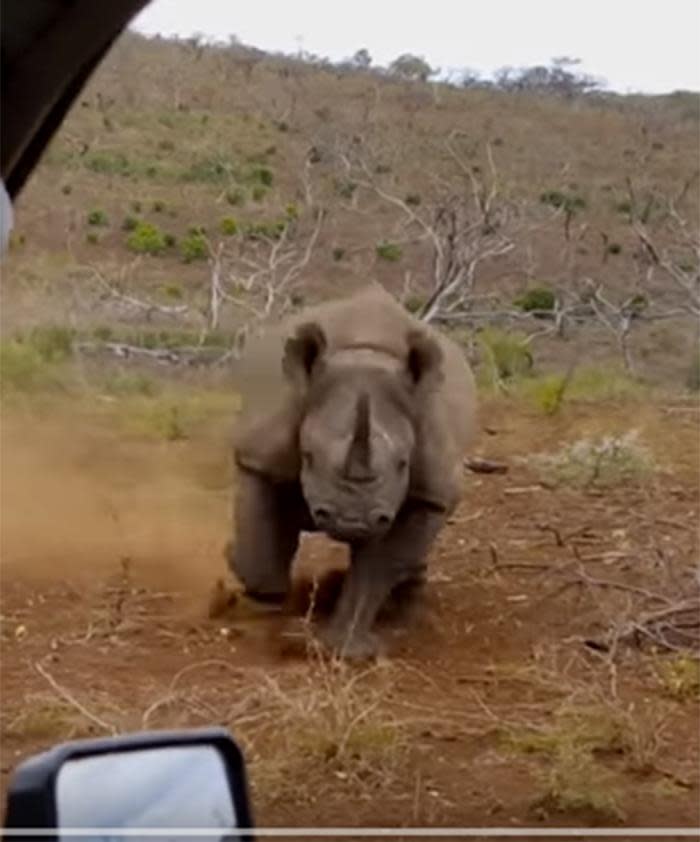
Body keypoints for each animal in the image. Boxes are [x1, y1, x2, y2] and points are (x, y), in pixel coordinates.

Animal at [227, 282, 478, 656]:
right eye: (308, 456)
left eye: (403, 464)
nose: (351, 521)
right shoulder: (260, 455)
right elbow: (260, 546)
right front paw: (258, 602)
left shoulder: (427, 492)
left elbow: (377, 568)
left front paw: (347, 652)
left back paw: (407, 617)